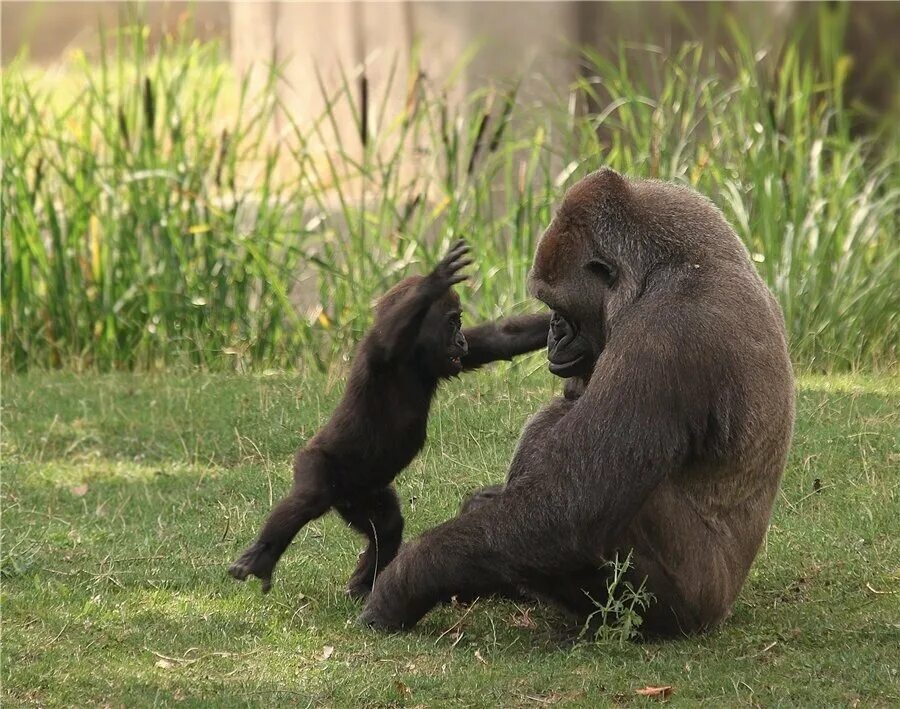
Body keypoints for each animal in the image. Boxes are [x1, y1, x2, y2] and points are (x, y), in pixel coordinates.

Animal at [229, 239, 472, 596]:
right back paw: (263, 556)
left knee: (387, 525)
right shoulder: (381, 350)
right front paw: (435, 280)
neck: (413, 356)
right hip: (316, 462)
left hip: (361, 494)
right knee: (310, 497)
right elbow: (388, 338)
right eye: (453, 322)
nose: (463, 341)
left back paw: (363, 580)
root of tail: (343, 495)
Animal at [358, 167, 796, 636]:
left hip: (688, 607)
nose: (553, 330)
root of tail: (723, 608)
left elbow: (575, 509)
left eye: (560, 305)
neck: (664, 269)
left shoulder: (665, 334)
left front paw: (405, 581)